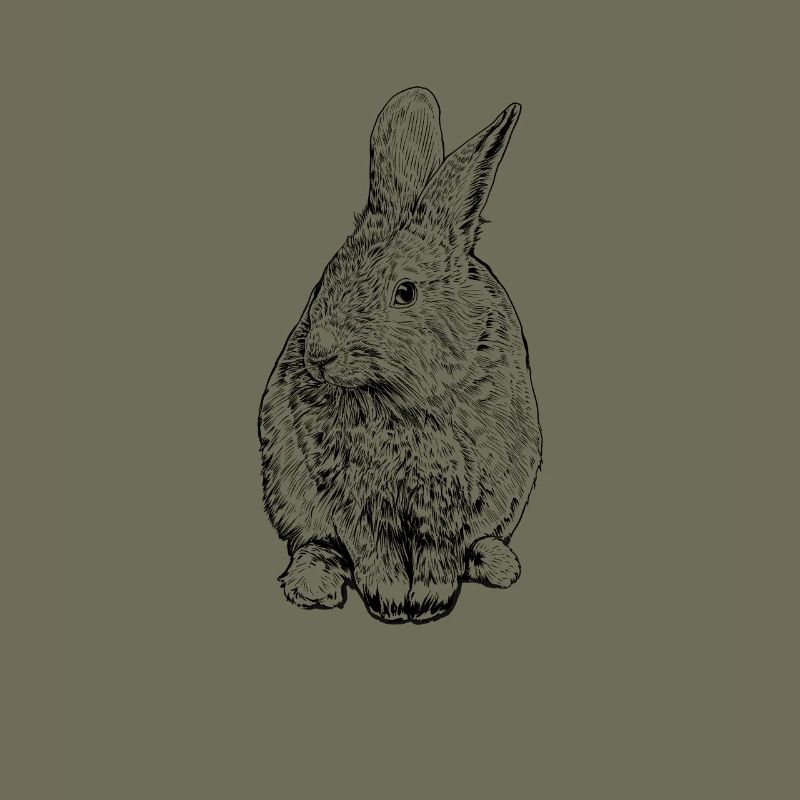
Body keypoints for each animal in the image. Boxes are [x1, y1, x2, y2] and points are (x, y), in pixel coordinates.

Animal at [259, 87, 542, 623]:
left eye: (405, 293)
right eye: (325, 279)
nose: (318, 354)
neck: (402, 398)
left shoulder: (454, 500)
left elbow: (440, 551)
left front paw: (427, 602)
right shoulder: (350, 497)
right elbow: (372, 549)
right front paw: (389, 601)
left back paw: (498, 564)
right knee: (316, 544)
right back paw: (313, 585)